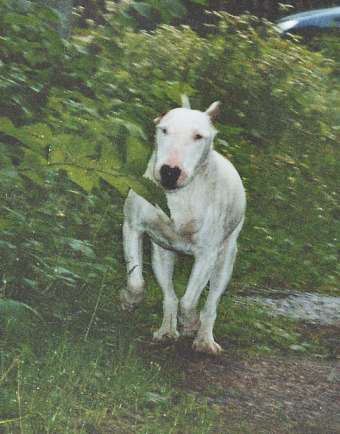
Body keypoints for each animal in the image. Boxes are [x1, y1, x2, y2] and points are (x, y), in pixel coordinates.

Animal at [121, 96, 246, 354]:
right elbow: (136, 281)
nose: (170, 171)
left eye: (198, 136)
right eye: (164, 130)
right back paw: (166, 331)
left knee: (210, 302)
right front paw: (129, 299)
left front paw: (190, 323)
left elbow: (189, 301)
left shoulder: (207, 254)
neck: (178, 197)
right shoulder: (132, 227)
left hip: (226, 259)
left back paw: (204, 339)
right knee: (170, 295)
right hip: (163, 253)